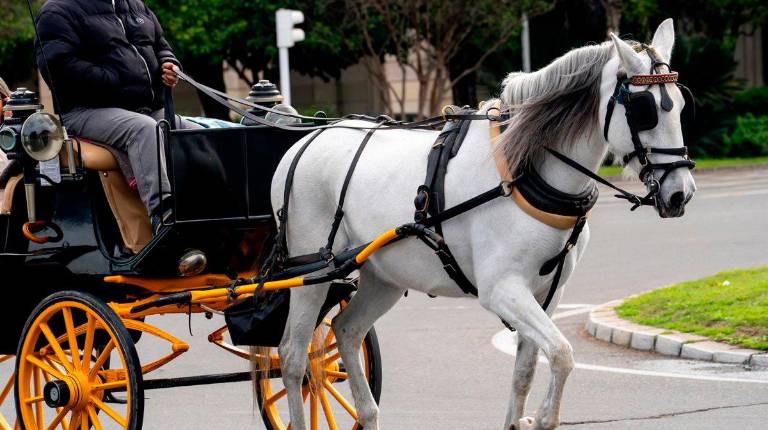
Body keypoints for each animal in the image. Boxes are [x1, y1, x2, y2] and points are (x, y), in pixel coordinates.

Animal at [269, 18, 696, 430]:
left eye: (679, 105)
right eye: (645, 110)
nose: (681, 193)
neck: (524, 173)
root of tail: (303, 142)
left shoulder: (548, 293)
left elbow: (526, 371)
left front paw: (523, 418)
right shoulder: (502, 289)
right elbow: (562, 353)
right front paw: (541, 417)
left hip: (382, 276)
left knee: (346, 330)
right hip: (311, 273)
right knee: (293, 357)